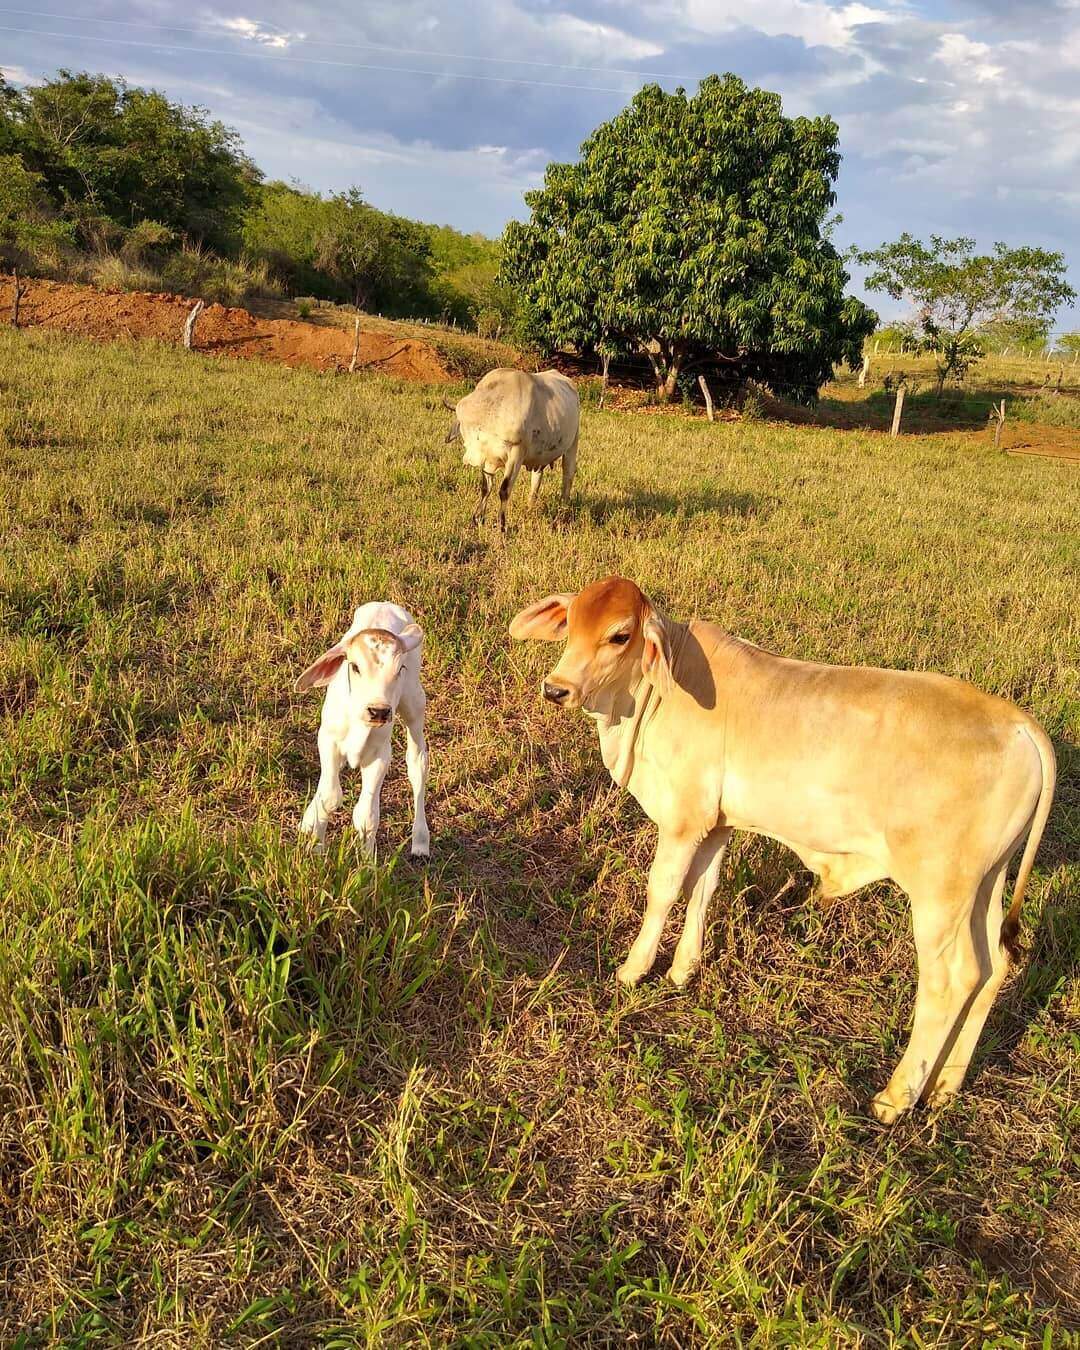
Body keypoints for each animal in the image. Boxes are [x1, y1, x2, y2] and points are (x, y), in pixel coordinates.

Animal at [297, 604, 432, 858]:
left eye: (400, 668)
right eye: (355, 667)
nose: (378, 711)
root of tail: (386, 603)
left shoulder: (380, 754)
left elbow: (366, 816)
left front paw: (366, 860)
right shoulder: (327, 739)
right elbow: (329, 796)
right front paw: (315, 848)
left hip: (414, 704)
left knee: (417, 763)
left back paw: (421, 841)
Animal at [448, 367, 583, 529]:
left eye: (477, 428)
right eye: (463, 426)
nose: (470, 459)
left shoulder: (515, 455)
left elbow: (504, 490)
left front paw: (501, 525)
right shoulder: (488, 460)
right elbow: (485, 488)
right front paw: (477, 519)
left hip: (572, 445)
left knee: (567, 477)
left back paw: (561, 514)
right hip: (540, 457)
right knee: (536, 480)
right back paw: (530, 508)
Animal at [513, 575, 1053, 1123]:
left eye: (619, 636)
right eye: (571, 621)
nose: (557, 688)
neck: (654, 692)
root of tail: (1021, 725)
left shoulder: (684, 821)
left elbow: (663, 891)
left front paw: (633, 969)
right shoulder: (717, 825)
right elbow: (703, 890)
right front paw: (683, 970)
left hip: (940, 891)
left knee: (952, 980)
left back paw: (896, 1097)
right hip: (986, 882)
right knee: (993, 968)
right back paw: (944, 1087)